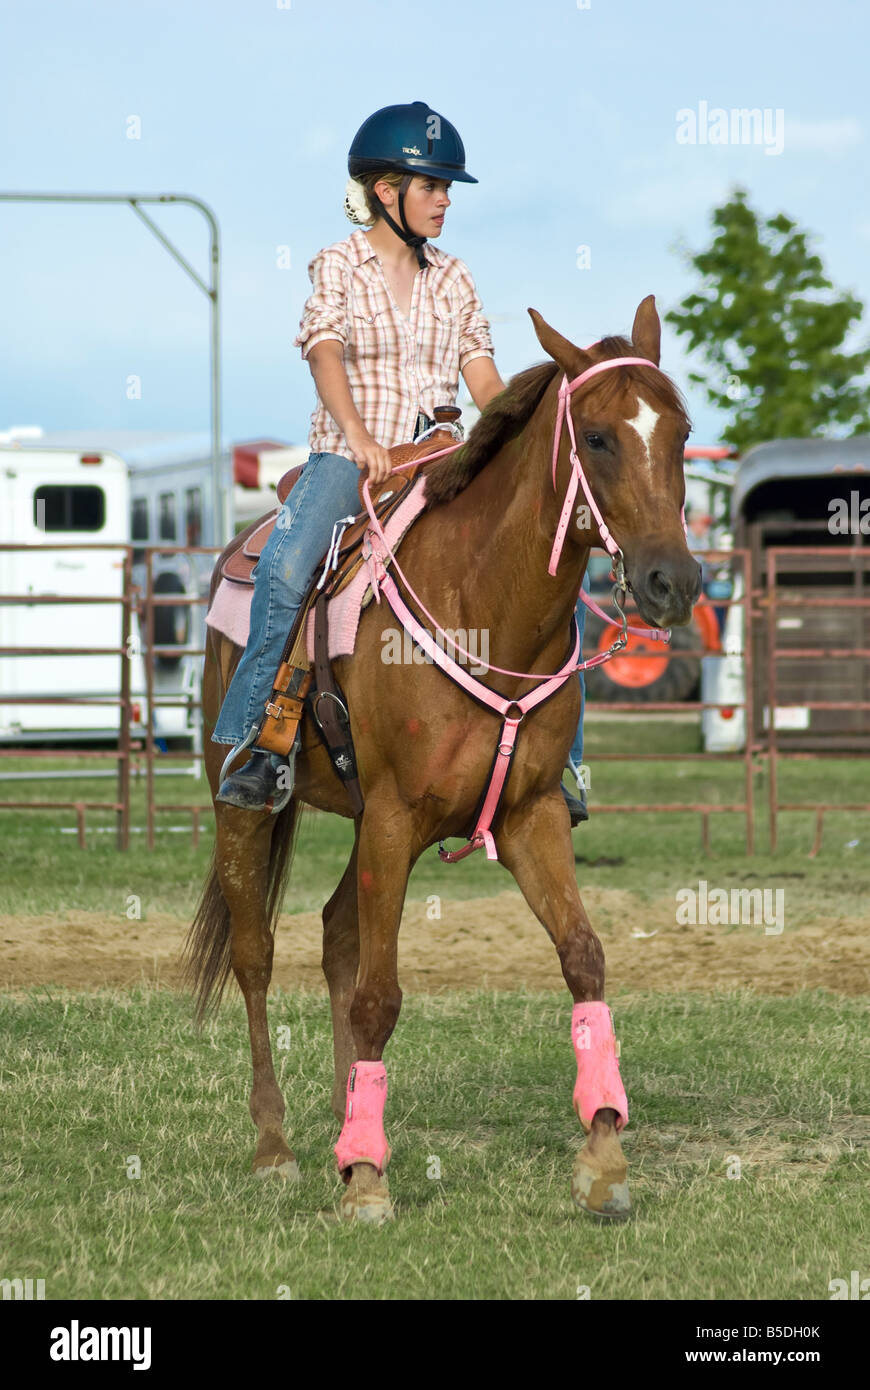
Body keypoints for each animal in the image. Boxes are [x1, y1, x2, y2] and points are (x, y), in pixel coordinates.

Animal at [183, 293, 697, 1217]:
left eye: (680, 433)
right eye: (599, 437)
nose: (674, 581)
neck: (485, 604)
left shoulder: (529, 816)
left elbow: (584, 960)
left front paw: (603, 1158)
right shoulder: (394, 820)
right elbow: (380, 996)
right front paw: (367, 1184)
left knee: (335, 936)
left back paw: (345, 1123)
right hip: (242, 804)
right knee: (256, 955)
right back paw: (277, 1146)